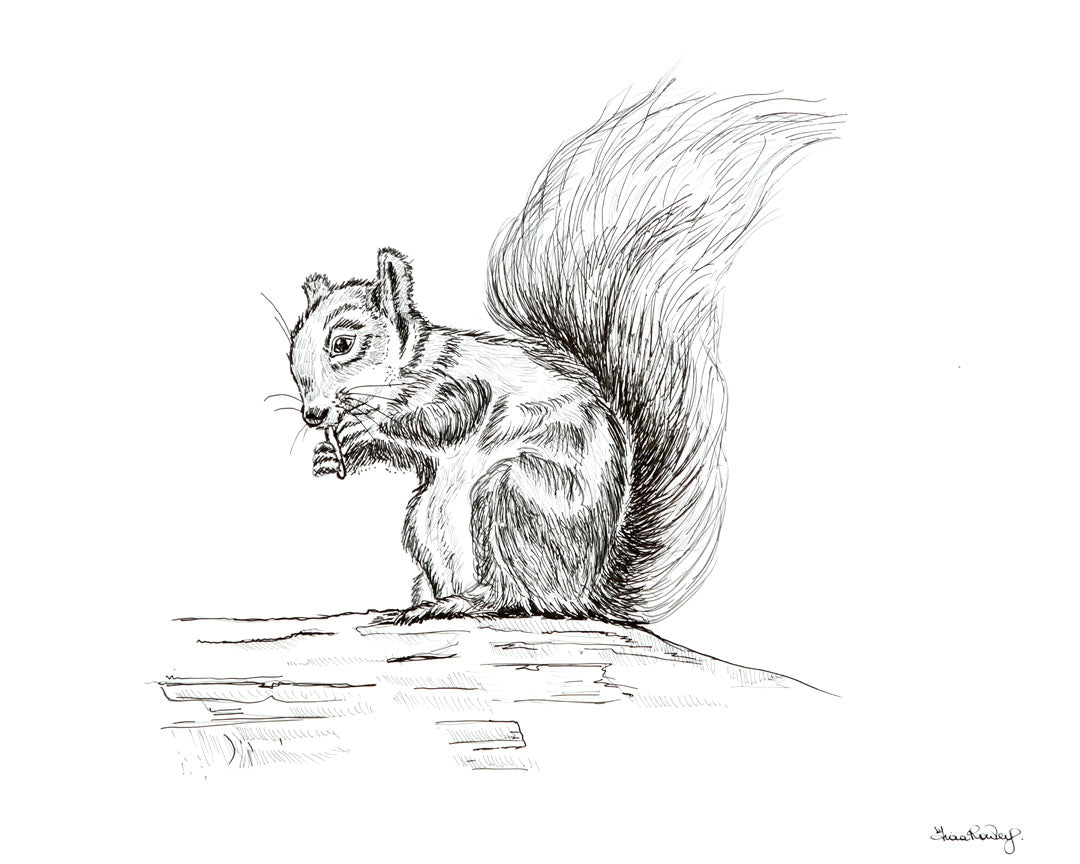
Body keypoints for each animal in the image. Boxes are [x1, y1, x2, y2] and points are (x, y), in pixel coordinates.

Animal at [286, 83, 839, 625]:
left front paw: (366, 430)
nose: (313, 415)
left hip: (510, 496)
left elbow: (443, 419)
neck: (411, 365)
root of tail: (584, 592)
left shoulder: (461, 382)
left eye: (343, 343)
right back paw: (420, 603)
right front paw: (334, 454)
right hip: (423, 519)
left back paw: (464, 602)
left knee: (517, 595)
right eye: (292, 352)